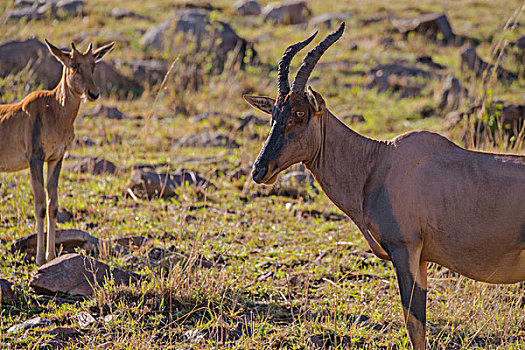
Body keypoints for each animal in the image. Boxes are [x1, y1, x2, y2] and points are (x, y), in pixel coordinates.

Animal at [0, 40, 114, 266]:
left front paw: (51, 256)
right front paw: (39, 259)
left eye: (93, 65)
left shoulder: (56, 158)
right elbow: (40, 205)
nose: (93, 93)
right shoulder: (35, 159)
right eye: (74, 65)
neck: (51, 107)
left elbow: (53, 205)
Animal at [244, 22, 524, 350]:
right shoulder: (422, 259)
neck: (379, 162)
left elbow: (414, 325)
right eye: (273, 115)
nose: (259, 170)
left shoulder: (405, 251)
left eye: (300, 114)